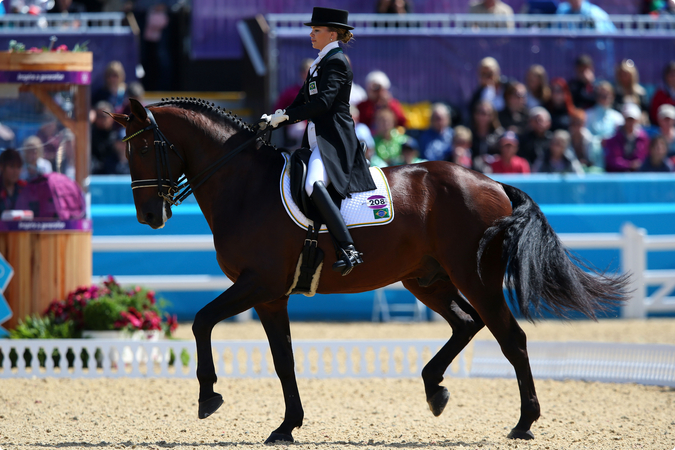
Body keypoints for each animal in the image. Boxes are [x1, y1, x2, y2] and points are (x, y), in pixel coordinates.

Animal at [112, 97, 628, 442]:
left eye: (144, 149)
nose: (149, 217)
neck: (245, 186)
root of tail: (492, 182)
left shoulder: (257, 283)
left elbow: (201, 322)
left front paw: (208, 398)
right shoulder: (271, 295)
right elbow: (283, 360)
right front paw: (287, 426)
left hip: (475, 277)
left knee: (510, 337)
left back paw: (523, 423)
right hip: (425, 279)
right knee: (467, 324)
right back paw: (435, 390)